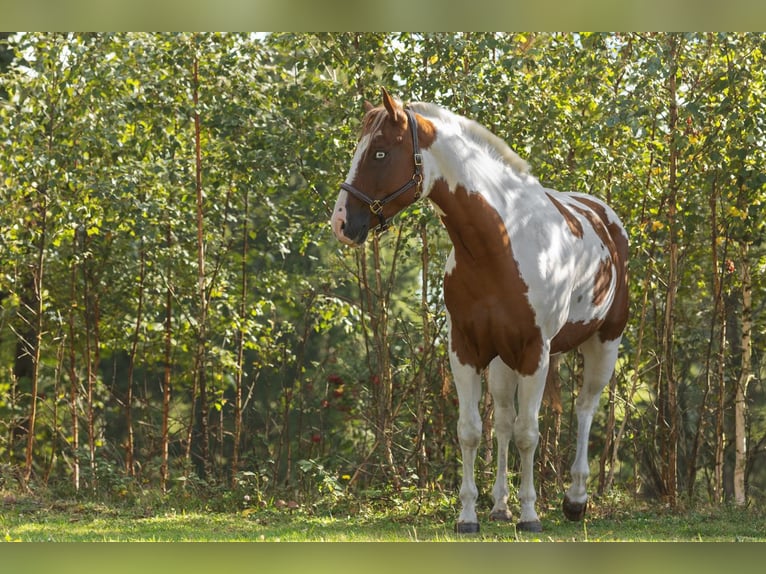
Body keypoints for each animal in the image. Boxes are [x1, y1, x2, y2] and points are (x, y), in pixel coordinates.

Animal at [331, 88, 629, 533]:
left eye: (380, 152)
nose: (341, 223)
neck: (499, 243)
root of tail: (605, 218)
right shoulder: (466, 350)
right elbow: (472, 430)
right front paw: (468, 515)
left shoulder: (535, 353)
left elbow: (529, 433)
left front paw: (530, 515)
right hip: (503, 363)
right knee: (503, 420)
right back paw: (500, 506)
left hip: (602, 345)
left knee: (584, 409)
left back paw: (575, 500)